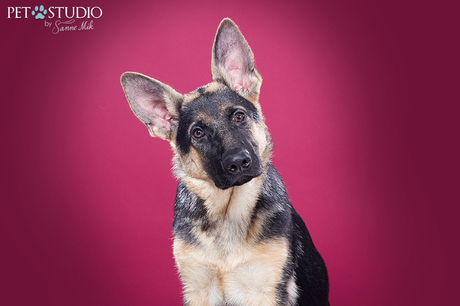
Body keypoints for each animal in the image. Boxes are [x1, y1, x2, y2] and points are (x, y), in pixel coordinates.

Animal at [120, 18, 328, 306]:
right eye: (198, 133)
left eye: (239, 117)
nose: (239, 163)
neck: (227, 212)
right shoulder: (198, 290)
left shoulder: (266, 292)